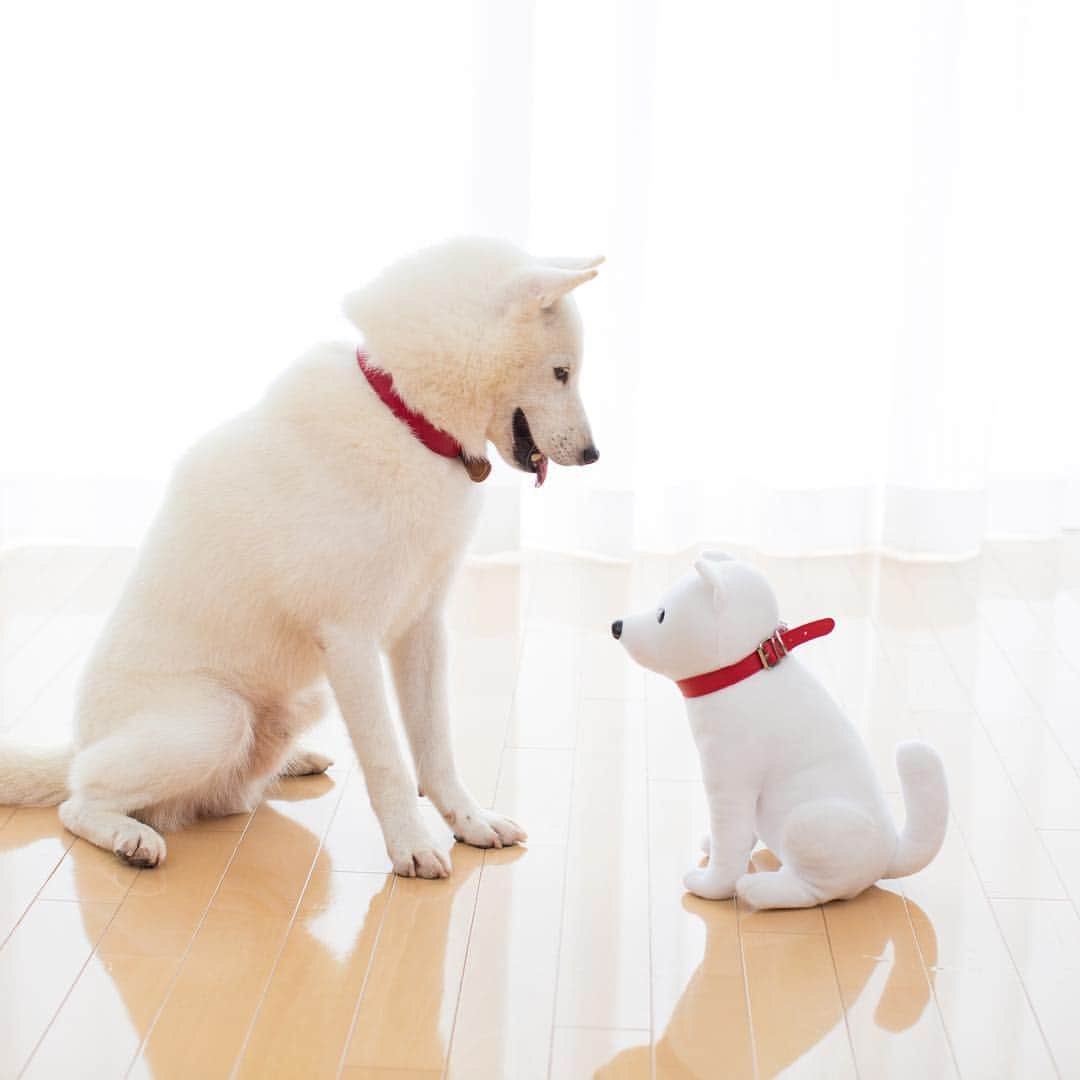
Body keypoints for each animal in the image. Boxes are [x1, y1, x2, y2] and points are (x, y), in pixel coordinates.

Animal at [0, 238, 604, 876]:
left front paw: (469, 822)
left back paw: (292, 761)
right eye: (562, 372)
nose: (595, 455)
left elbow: (435, 750)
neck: (405, 417)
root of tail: (83, 736)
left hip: (304, 700)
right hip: (213, 722)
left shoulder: (422, 630)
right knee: (78, 796)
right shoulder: (351, 641)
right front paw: (411, 846)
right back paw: (128, 836)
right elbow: (388, 760)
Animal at [617, 552, 946, 907]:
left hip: (807, 825)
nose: (616, 626)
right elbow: (737, 836)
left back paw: (759, 889)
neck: (745, 671)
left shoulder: (730, 784)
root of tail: (890, 853)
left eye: (662, 614)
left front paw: (710, 886)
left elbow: (728, 848)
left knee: (814, 891)